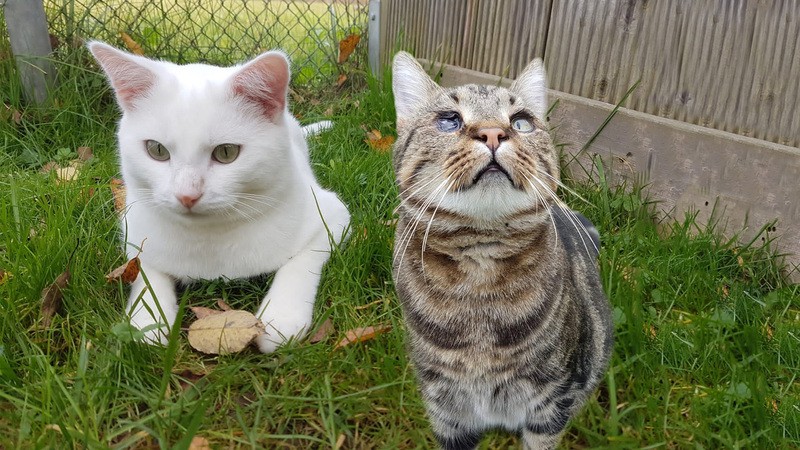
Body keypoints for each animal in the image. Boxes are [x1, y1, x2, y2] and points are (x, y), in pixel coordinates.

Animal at [89, 41, 350, 353]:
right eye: (156, 150)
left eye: (226, 152)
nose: (187, 195)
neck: (208, 238)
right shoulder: (133, 229)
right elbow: (146, 272)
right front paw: (147, 320)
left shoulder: (333, 216)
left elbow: (300, 263)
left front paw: (280, 318)